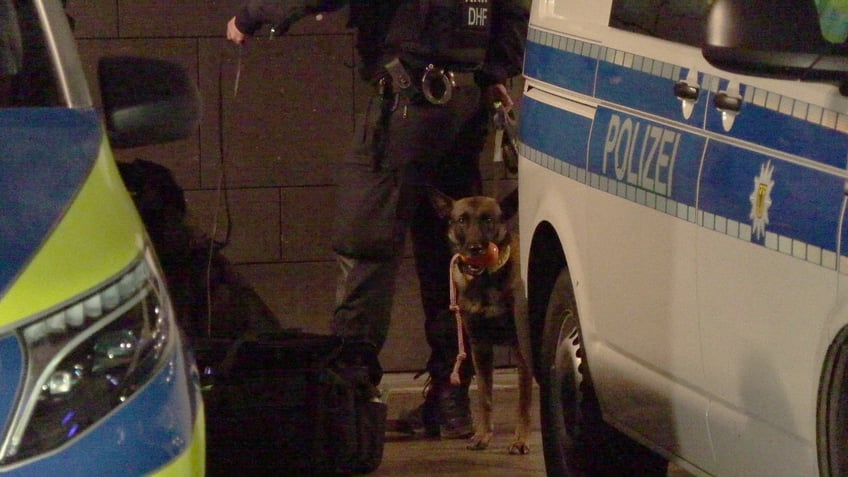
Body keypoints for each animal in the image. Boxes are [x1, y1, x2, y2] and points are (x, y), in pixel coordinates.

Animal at [430, 189, 528, 454]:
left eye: (488, 220)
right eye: (461, 220)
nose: (474, 248)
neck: (486, 281)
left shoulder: (521, 351)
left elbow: (523, 401)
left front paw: (520, 440)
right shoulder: (480, 348)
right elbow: (485, 397)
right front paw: (483, 436)